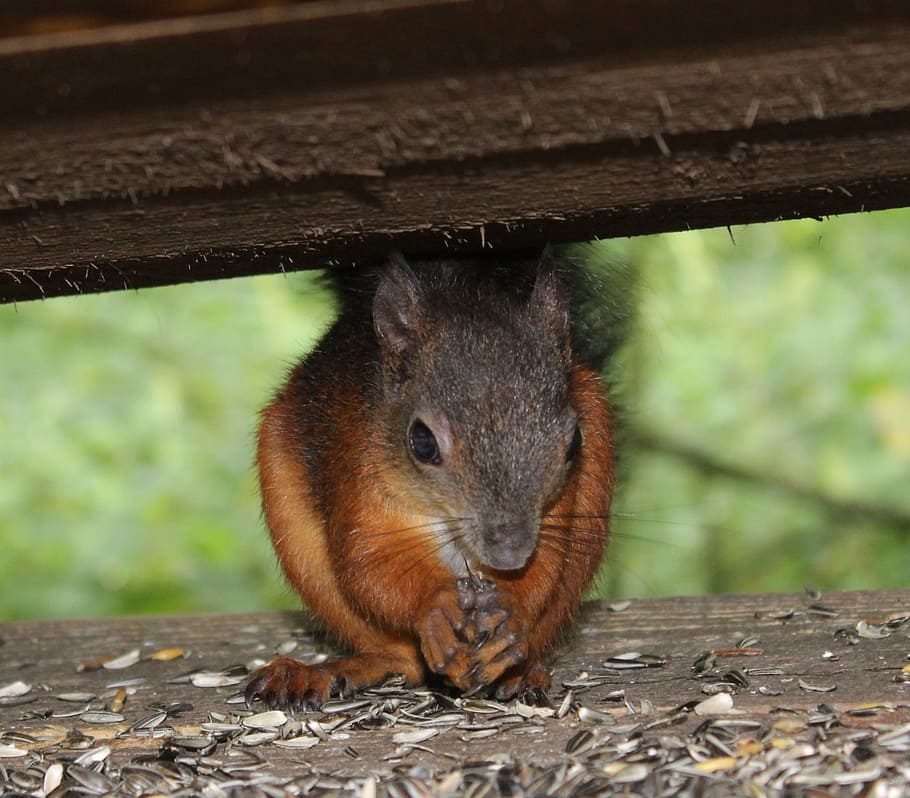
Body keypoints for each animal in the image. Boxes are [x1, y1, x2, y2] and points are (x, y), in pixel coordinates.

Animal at [245, 249, 617, 710]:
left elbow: (546, 565)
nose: (510, 552)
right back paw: (323, 671)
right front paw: (437, 605)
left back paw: (521, 670)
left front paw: (511, 611)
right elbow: (367, 561)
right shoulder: (357, 468)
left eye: (574, 442)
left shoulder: (556, 512)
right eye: (421, 442)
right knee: (398, 657)